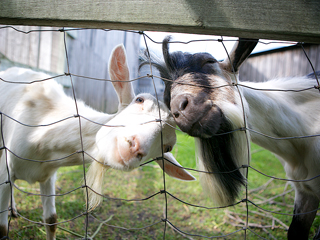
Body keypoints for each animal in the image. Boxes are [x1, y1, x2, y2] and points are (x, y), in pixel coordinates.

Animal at [0, 44, 195, 240]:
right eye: (139, 99)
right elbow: (2, 227)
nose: (135, 147)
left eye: (168, 147)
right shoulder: (6, 169)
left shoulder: (48, 174)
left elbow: (51, 220)